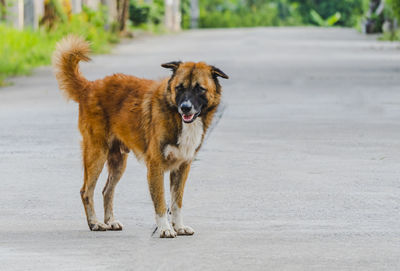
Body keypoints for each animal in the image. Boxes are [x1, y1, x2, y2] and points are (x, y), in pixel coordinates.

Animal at [52, 35, 228, 239]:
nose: (185, 108)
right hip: (97, 154)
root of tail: (89, 86)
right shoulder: (156, 166)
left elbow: (177, 202)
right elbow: (161, 203)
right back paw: (95, 223)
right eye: (179, 88)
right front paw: (165, 228)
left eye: (200, 89)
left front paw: (179, 226)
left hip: (118, 162)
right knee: (86, 191)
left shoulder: (182, 167)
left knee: (106, 191)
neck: (175, 115)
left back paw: (110, 221)